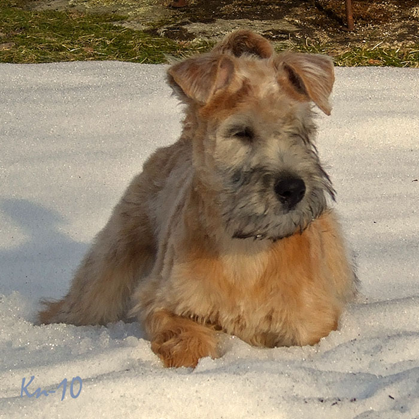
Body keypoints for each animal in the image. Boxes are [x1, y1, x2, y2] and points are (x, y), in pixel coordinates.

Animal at [39, 31, 358, 370]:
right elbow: (185, 336)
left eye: (301, 129)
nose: (293, 189)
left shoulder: (312, 320)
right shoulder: (165, 302)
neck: (246, 250)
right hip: (116, 252)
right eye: (242, 132)